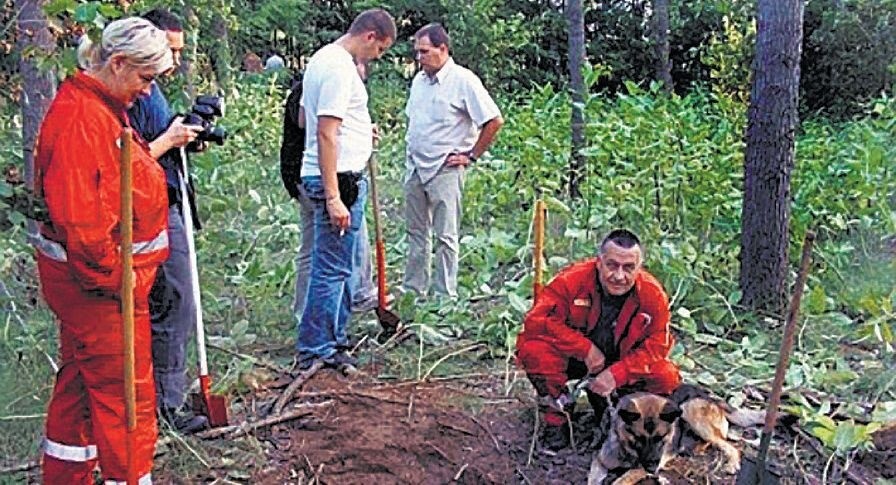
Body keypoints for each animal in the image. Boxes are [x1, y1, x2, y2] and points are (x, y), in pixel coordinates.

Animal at [588, 384, 764, 482]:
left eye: (661, 438)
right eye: (640, 438)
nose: (653, 469)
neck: (628, 451)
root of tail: (711, 397)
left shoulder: (636, 471)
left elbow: (620, 481)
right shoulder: (599, 462)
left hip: (689, 410)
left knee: (730, 446)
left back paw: (732, 463)